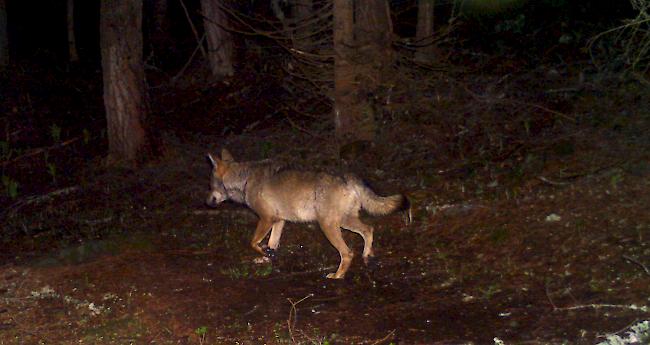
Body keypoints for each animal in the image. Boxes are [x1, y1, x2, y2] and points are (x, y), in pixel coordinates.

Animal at [205, 149, 408, 278]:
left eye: (210, 185)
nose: (207, 202)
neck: (245, 179)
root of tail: (348, 177)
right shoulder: (279, 221)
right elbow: (271, 243)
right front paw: (267, 257)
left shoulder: (267, 218)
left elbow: (253, 242)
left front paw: (264, 252)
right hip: (344, 221)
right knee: (368, 230)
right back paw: (367, 256)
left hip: (328, 225)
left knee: (348, 252)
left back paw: (337, 275)